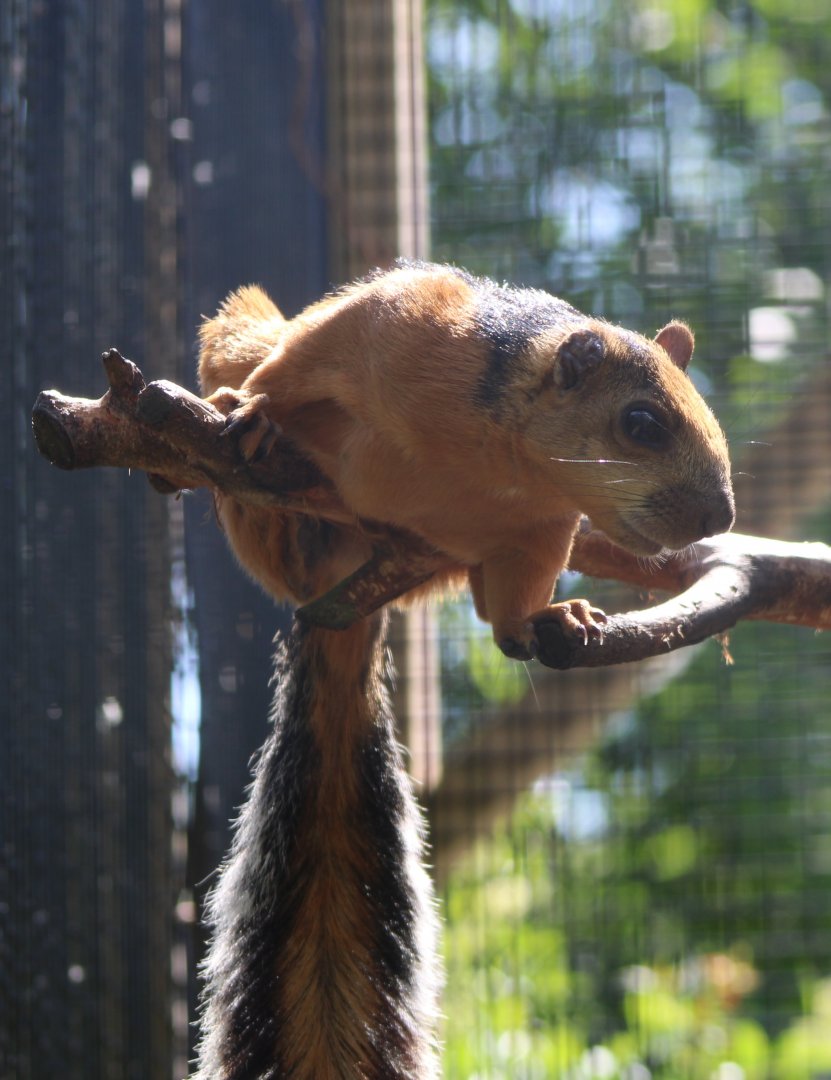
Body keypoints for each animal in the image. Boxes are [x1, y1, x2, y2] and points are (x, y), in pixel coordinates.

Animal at [192, 261, 734, 1079]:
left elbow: (506, 625)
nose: (720, 517)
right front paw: (253, 409)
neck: (499, 460)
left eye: (707, 413)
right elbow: (292, 366)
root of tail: (339, 607)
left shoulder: (539, 533)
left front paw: (555, 620)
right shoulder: (383, 321)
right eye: (640, 423)